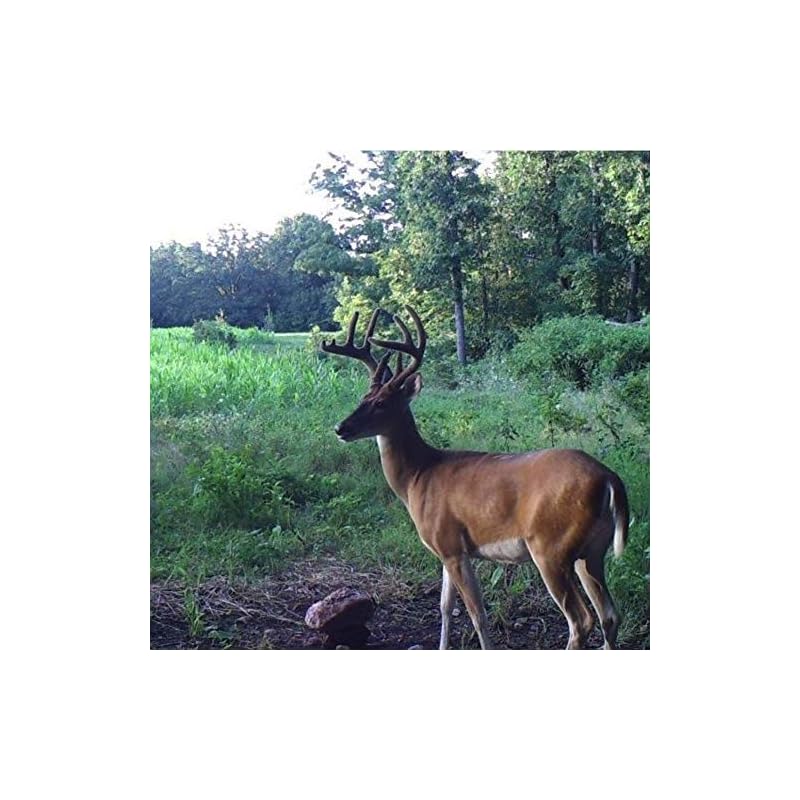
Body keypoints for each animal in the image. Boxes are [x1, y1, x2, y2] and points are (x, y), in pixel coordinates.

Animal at [321, 306, 630, 650]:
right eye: (363, 397)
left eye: (380, 403)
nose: (340, 428)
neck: (418, 476)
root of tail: (609, 479)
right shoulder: (444, 549)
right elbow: (444, 606)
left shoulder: (451, 545)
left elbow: (477, 614)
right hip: (593, 551)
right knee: (610, 615)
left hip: (551, 547)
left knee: (581, 620)